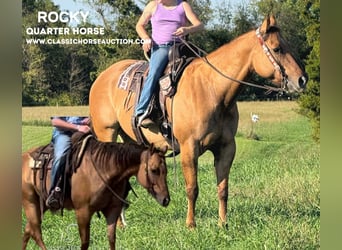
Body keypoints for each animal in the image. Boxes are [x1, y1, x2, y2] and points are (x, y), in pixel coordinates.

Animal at [22, 132, 169, 249]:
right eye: (154, 170)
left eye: (165, 171)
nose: (166, 199)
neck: (104, 169)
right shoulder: (83, 212)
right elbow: (85, 243)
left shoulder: (112, 210)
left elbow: (111, 239)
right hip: (30, 203)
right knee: (36, 233)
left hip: (42, 204)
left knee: (28, 231)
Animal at [88, 14, 308, 228]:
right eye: (277, 48)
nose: (302, 80)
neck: (212, 90)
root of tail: (101, 78)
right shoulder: (189, 148)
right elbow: (192, 188)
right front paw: (191, 225)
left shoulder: (226, 148)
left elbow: (223, 189)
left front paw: (223, 224)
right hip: (107, 132)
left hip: (130, 139)